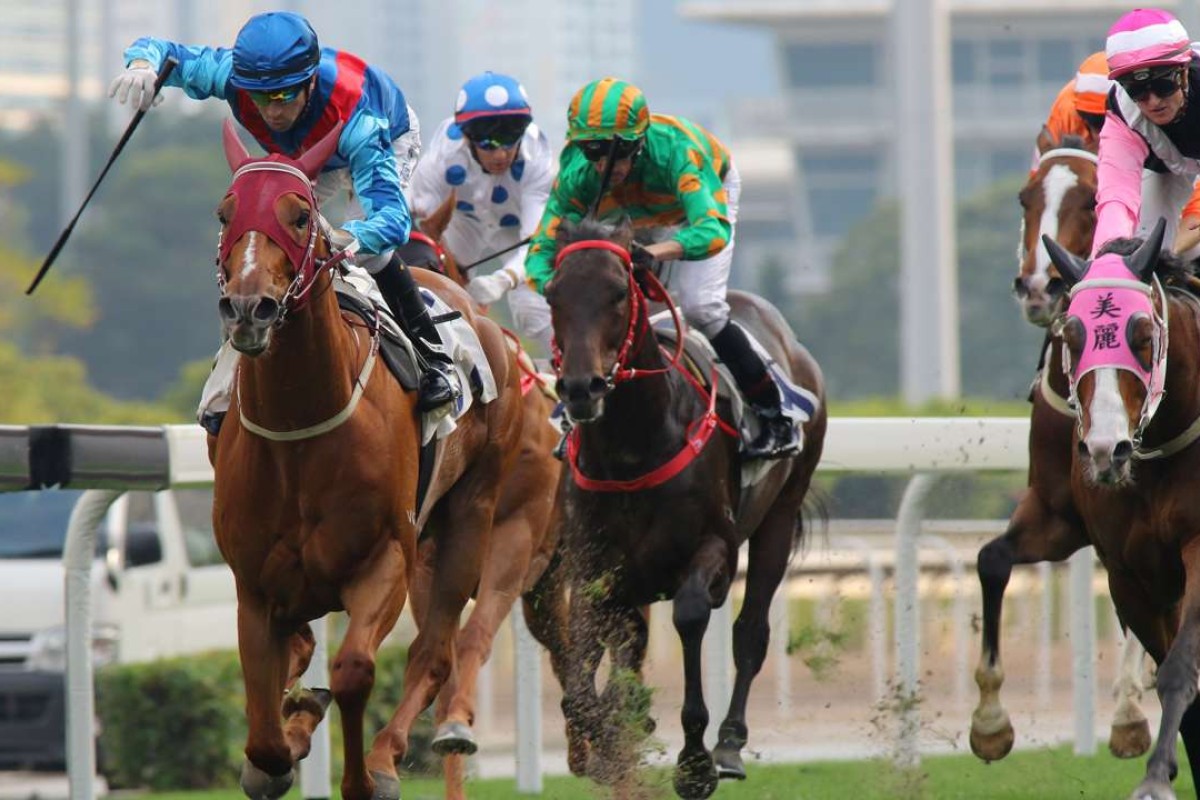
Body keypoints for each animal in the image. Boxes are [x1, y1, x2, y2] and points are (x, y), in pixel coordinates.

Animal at [208, 120, 528, 800]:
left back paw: (385, 754)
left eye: (301, 215)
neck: (298, 430)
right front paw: (283, 741)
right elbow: (264, 722)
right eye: (225, 213)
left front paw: (363, 774)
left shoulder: (386, 558)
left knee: (434, 652)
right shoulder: (254, 584)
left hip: (471, 514)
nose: (249, 308)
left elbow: (355, 669)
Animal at [393, 190, 566, 796]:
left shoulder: (513, 541)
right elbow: (438, 654)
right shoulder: (425, 560)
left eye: (434, 261)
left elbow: (475, 637)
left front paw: (456, 727)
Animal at [544, 215, 825, 796]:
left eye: (618, 292)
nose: (581, 388)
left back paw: (730, 745)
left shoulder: (712, 545)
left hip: (779, 518)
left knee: (751, 632)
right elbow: (586, 667)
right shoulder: (593, 567)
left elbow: (693, 614)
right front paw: (610, 742)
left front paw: (693, 762)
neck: (632, 449)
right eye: (554, 294)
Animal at [964, 128, 1152, 762]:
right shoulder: (1057, 516)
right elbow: (992, 559)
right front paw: (990, 721)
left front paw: (1128, 713)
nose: (1038, 287)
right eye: (1024, 198)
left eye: (1091, 201)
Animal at [1046, 219, 1200, 800]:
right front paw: (1162, 769)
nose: (1105, 450)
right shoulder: (1129, 574)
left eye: (1141, 335)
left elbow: (1180, 669)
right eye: (1070, 336)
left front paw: (1156, 776)